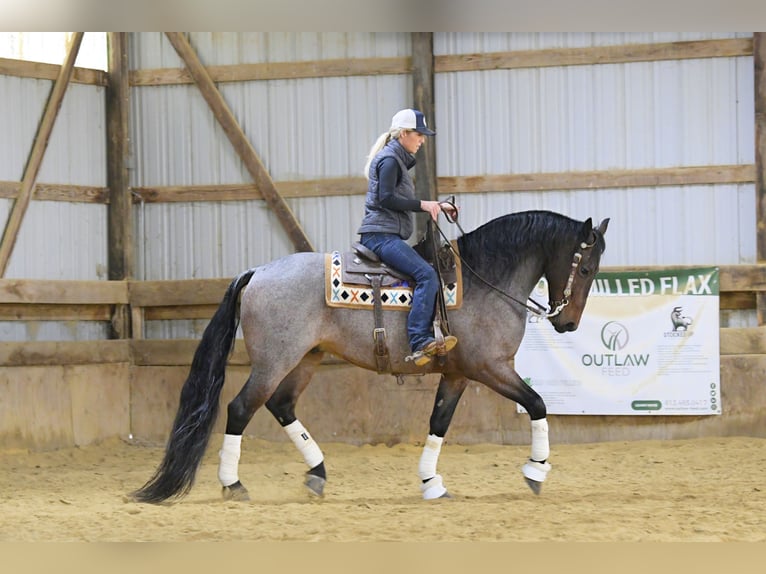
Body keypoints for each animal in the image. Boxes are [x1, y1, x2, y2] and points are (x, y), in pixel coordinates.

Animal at [132, 210, 612, 504]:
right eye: (587, 269)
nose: (568, 323)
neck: (485, 280)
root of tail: (257, 273)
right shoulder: (489, 368)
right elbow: (538, 404)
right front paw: (536, 471)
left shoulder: (458, 374)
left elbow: (439, 423)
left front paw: (431, 482)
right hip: (274, 362)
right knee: (240, 408)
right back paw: (233, 484)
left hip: (306, 359)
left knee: (281, 405)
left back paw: (318, 472)